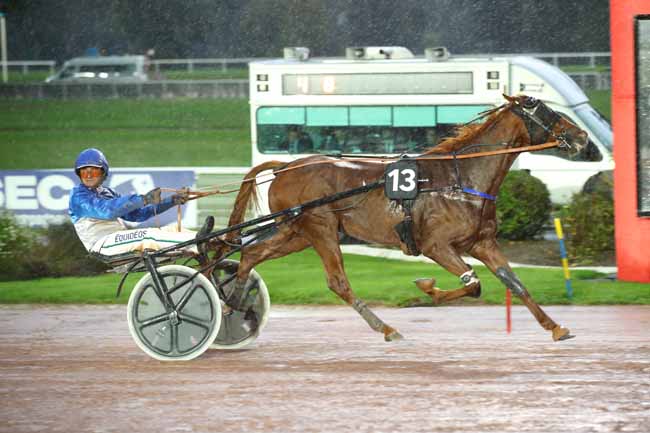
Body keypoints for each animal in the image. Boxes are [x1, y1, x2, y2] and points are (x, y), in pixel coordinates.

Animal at [220, 94, 584, 340]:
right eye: (545, 111)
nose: (581, 137)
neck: (461, 177)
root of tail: (285, 167)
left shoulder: (482, 243)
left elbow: (515, 283)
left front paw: (555, 326)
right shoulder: (436, 245)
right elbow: (473, 284)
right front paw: (426, 288)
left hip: (296, 232)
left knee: (252, 253)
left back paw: (231, 304)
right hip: (319, 227)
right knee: (338, 282)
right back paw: (386, 327)